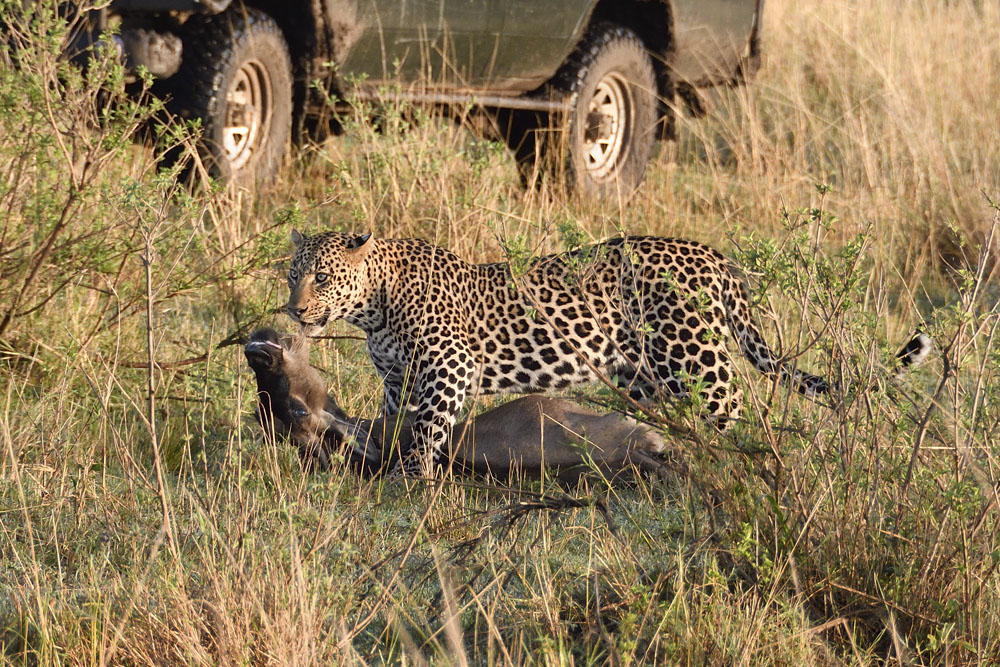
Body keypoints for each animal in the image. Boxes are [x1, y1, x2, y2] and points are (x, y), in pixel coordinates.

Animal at [285, 230, 830, 476]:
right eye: (293, 275)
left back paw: (738, 470)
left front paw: (413, 477)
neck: (373, 307)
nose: (294, 309)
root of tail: (710, 254)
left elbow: (428, 429)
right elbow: (396, 423)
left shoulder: (450, 364)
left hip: (691, 353)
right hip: (640, 374)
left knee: (732, 411)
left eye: (323, 277)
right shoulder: (398, 379)